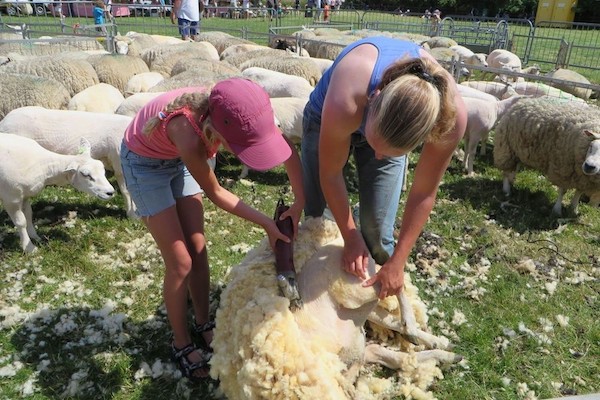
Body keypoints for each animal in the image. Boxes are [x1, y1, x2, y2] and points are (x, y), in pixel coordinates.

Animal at [213, 217, 462, 398]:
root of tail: (343, 243)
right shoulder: (359, 355)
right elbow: (393, 357)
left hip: (355, 289)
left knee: (392, 281)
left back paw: (414, 329)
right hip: (360, 308)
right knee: (388, 324)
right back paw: (442, 347)